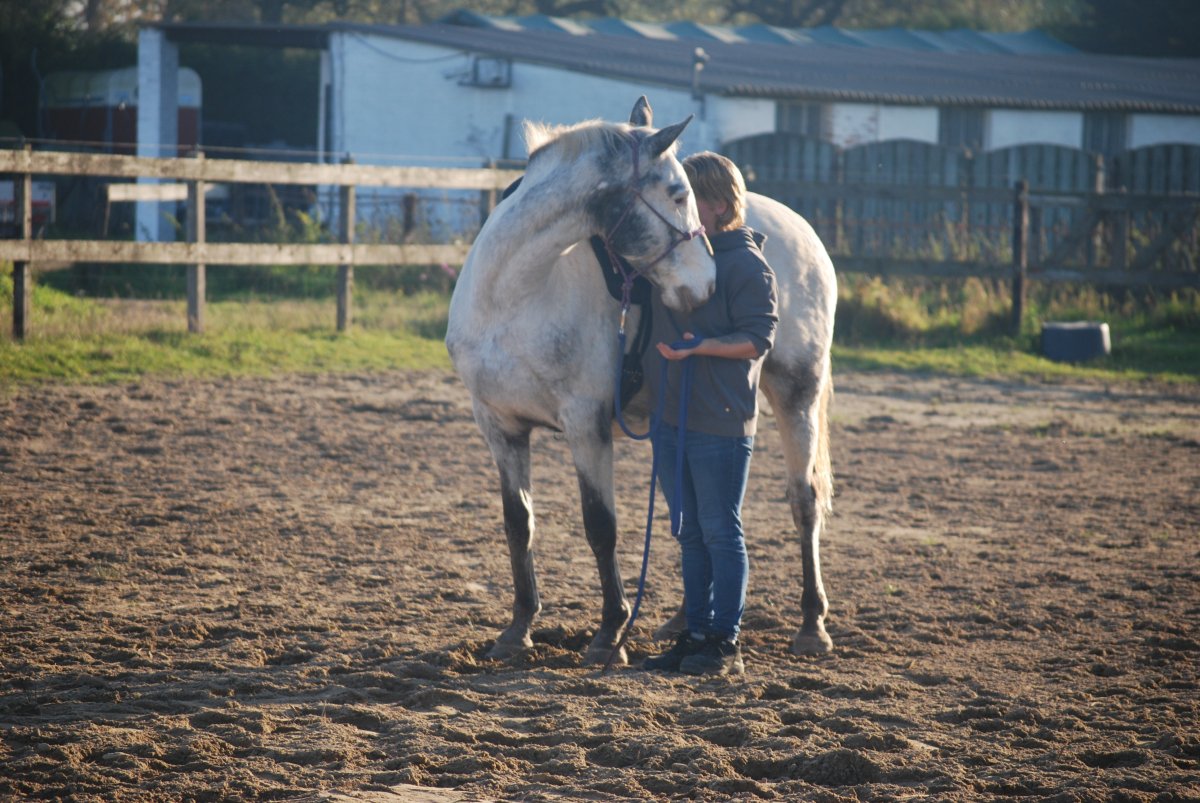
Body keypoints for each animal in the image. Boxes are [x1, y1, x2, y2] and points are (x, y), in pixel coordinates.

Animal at [446, 97, 836, 666]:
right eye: (677, 194)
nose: (706, 284)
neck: (515, 295)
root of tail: (801, 229)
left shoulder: (586, 425)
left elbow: (600, 526)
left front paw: (610, 633)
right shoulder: (499, 427)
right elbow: (519, 523)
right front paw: (518, 630)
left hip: (796, 394)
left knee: (803, 500)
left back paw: (811, 625)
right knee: (697, 517)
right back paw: (682, 622)